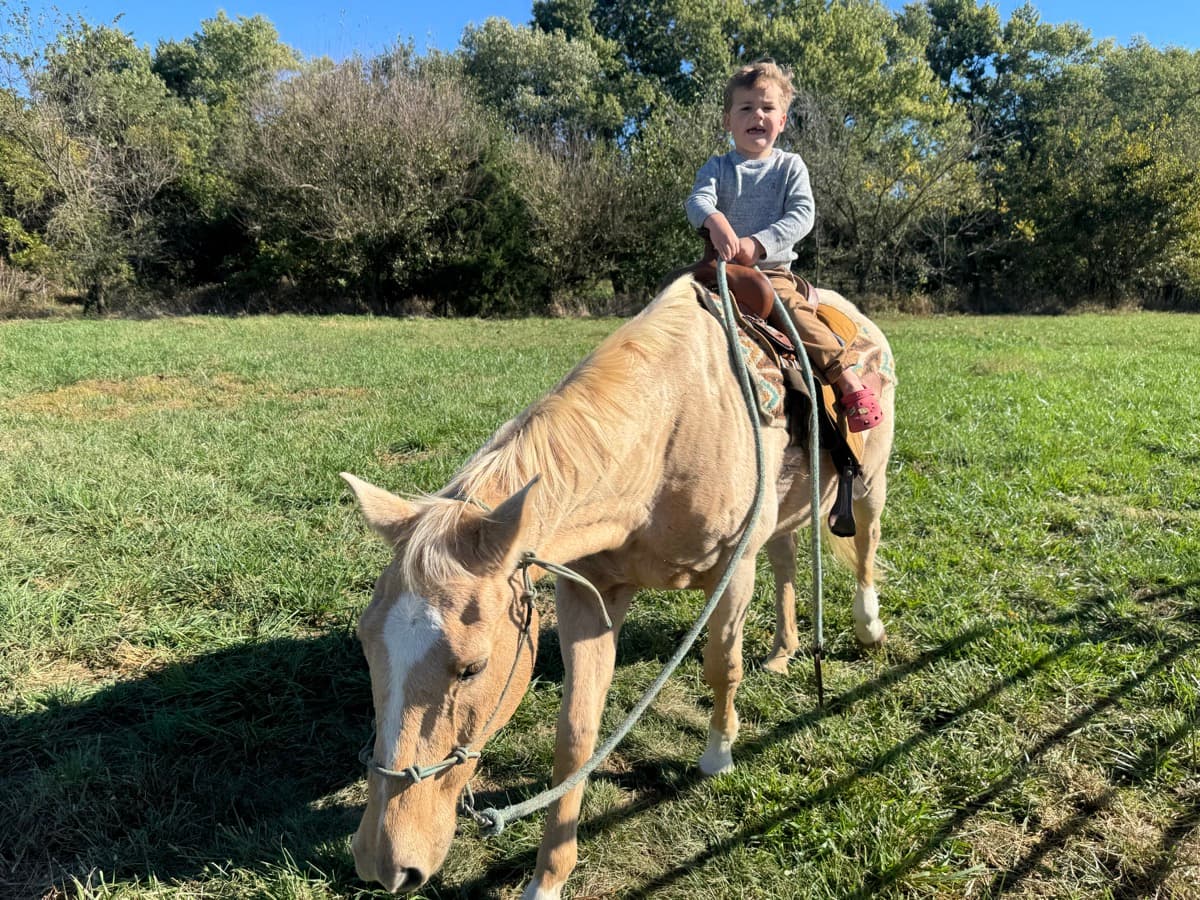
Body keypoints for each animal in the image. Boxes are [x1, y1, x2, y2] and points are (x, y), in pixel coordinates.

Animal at [341, 273, 895, 898]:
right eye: (367, 646)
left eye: (472, 668)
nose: (382, 862)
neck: (666, 435)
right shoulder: (591, 594)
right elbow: (575, 735)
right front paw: (548, 879)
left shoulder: (734, 568)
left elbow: (721, 666)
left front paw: (717, 755)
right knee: (787, 559)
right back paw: (782, 652)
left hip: (869, 482)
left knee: (866, 545)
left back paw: (868, 628)